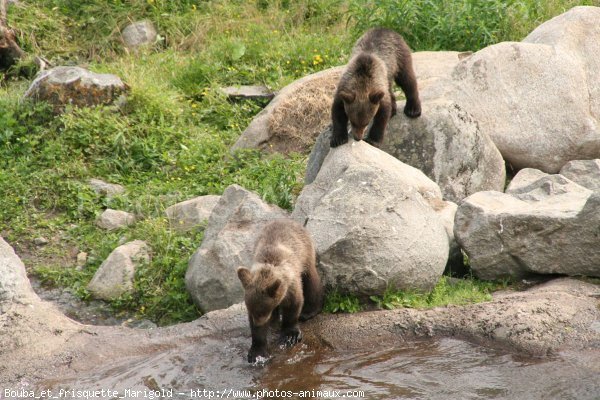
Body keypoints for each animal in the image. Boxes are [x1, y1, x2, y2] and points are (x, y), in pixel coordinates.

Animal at [236, 219, 324, 362]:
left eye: (262, 311)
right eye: (252, 310)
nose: (258, 322)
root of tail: (290, 220)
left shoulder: (291, 285)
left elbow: (293, 306)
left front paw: (290, 336)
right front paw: (257, 352)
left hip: (306, 255)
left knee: (312, 281)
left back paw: (309, 311)